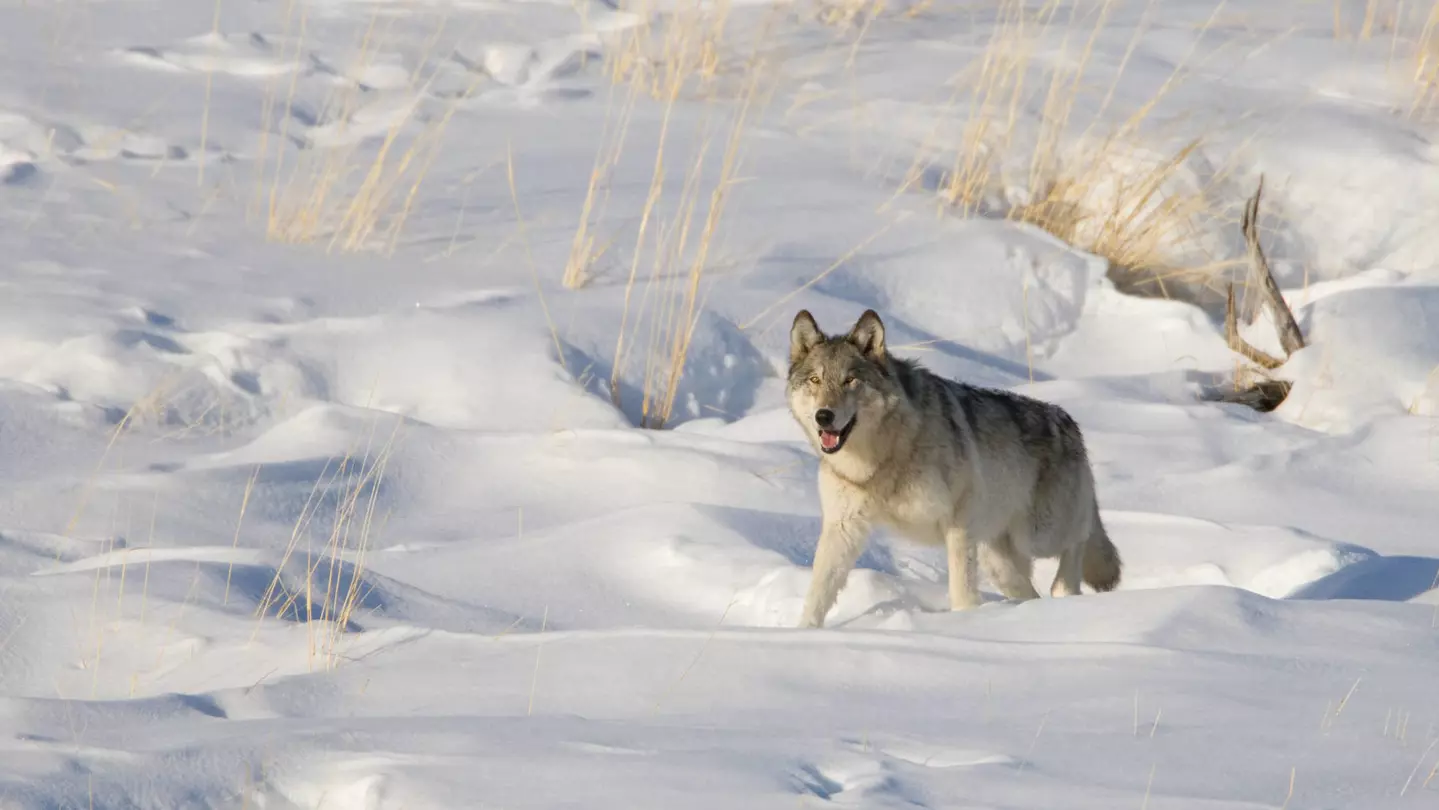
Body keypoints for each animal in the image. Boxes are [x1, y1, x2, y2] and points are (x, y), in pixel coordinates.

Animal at [785, 309, 1121, 629]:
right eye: (815, 380)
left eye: (849, 380)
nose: (823, 416)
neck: (882, 457)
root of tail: (1068, 421)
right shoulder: (842, 528)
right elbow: (817, 593)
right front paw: (802, 633)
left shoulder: (959, 523)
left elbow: (961, 589)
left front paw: (964, 621)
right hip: (996, 558)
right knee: (1028, 588)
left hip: (1038, 534)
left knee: (1078, 540)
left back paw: (1063, 592)